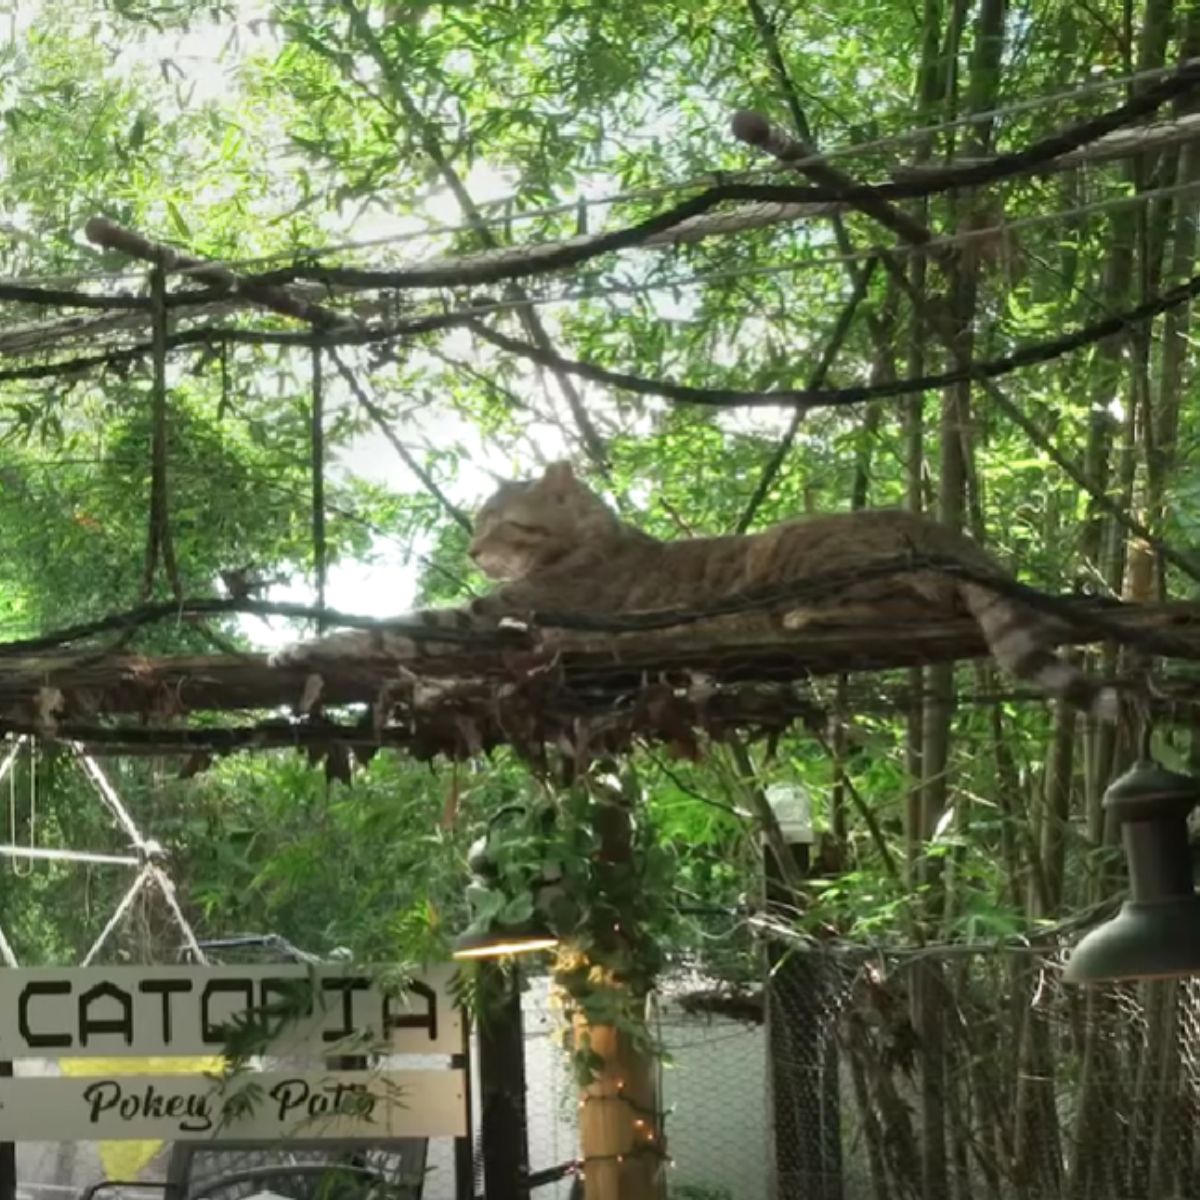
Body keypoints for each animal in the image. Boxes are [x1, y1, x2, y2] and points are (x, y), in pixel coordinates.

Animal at [267, 458, 1118, 720]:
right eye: (477, 525)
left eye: (501, 523)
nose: (473, 550)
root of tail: (951, 529)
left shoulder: (489, 615)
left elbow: (387, 626)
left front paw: (301, 645)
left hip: (799, 551)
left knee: (905, 599)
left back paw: (809, 615)